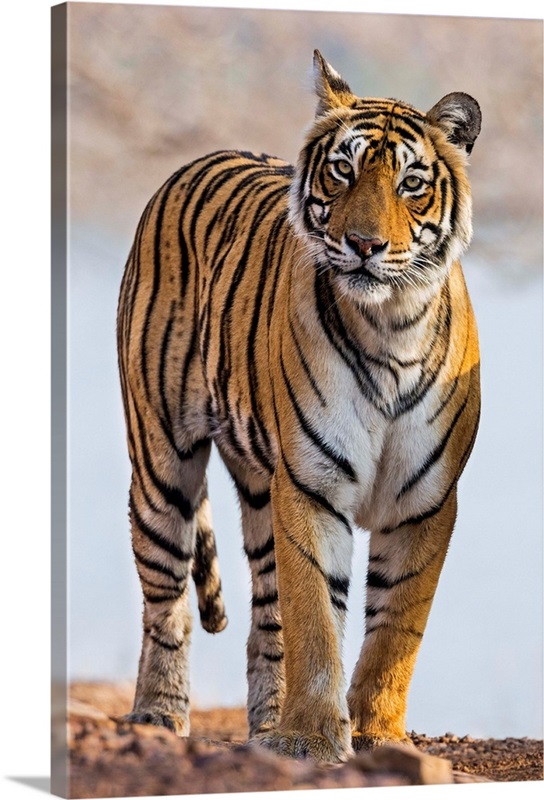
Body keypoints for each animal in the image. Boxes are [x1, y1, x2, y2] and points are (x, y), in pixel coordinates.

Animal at [117, 50, 482, 764]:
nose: (365, 244)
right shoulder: (312, 487)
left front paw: (377, 736)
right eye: (343, 169)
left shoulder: (425, 502)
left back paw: (263, 730)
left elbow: (395, 629)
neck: (392, 327)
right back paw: (159, 718)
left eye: (412, 183)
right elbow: (315, 616)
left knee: (265, 617)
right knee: (167, 604)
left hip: (262, 488)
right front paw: (312, 738)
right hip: (162, 463)